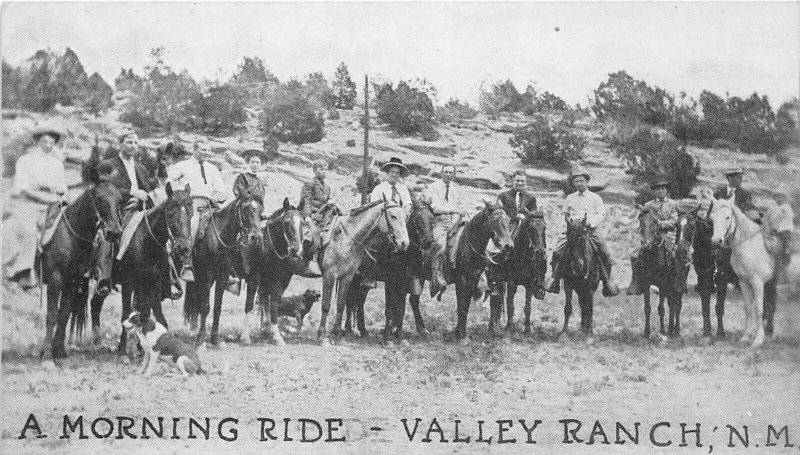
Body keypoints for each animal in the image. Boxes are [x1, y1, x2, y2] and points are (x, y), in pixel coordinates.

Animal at [36, 180, 123, 362]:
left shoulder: (73, 281)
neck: (72, 237)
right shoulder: (55, 280)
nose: (114, 232)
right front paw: (47, 354)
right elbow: (52, 315)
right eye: (99, 198)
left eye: (119, 200)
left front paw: (59, 351)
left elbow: (64, 314)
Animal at [181, 189, 262, 346]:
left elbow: (217, 306)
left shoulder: (223, 275)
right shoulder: (207, 275)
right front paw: (201, 338)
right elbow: (206, 306)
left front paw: (215, 339)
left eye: (261, 210)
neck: (219, 237)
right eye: (244, 207)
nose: (256, 237)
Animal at [316, 199, 410, 346]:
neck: (345, 238)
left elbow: (341, 304)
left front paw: (337, 335)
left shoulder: (347, 277)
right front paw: (322, 336)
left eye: (406, 218)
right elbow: (326, 305)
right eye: (393, 216)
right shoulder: (329, 275)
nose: (404, 243)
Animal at [444, 203, 512, 342]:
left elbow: (465, 306)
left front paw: (459, 333)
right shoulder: (462, 281)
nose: (509, 246)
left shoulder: (473, 279)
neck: (466, 245)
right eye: (495, 219)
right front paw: (461, 336)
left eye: (509, 220)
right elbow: (462, 307)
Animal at [708, 198, 780, 348]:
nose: (716, 241)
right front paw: (746, 337)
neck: (749, 246)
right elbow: (748, 308)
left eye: (727, 217)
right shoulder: (744, 282)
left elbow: (759, 309)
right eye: (712, 218)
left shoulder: (757, 282)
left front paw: (758, 339)